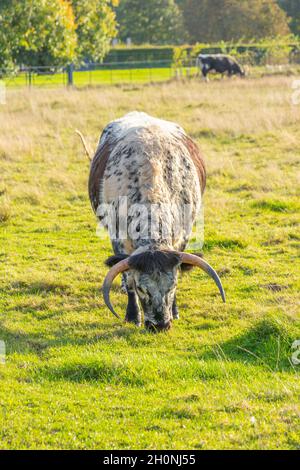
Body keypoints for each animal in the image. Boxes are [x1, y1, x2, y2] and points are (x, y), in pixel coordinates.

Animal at [84, 112, 225, 332]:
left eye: (172, 286)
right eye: (142, 288)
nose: (160, 325)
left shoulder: (183, 233)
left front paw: (175, 311)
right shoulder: (117, 237)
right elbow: (128, 275)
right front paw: (132, 316)